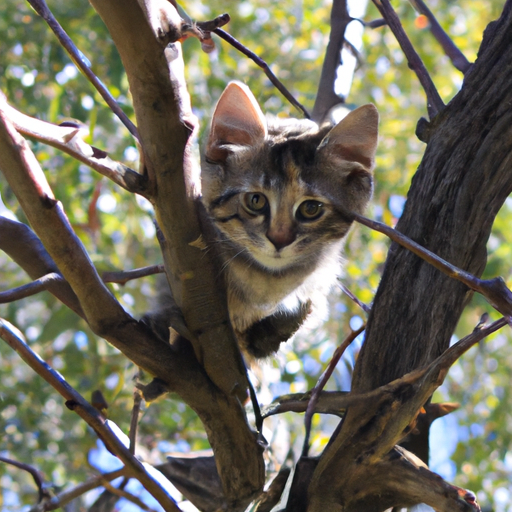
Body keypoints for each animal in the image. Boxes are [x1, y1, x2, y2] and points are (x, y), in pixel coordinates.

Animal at [146, 82, 378, 358]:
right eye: (256, 201)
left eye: (311, 208)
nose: (279, 239)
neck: (267, 282)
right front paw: (164, 321)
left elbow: (304, 311)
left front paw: (271, 332)